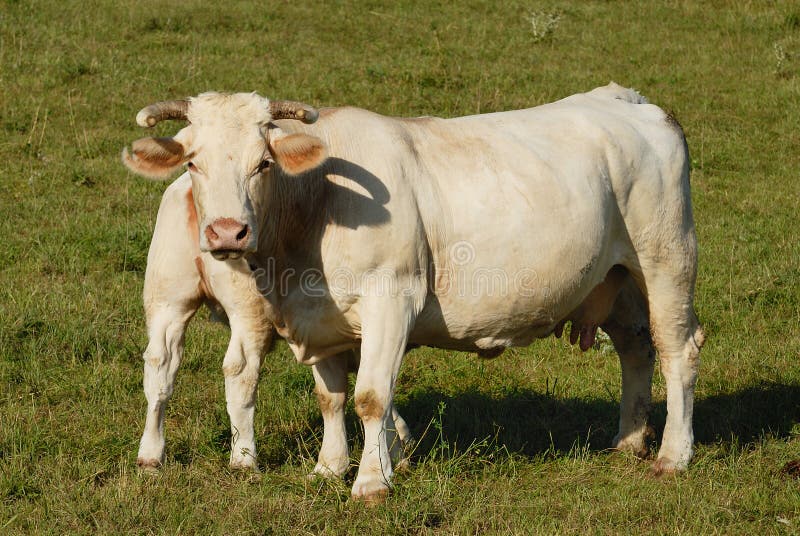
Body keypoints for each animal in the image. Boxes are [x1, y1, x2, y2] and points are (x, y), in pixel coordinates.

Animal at [137, 172, 411, 477]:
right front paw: (398, 449)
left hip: (166, 297)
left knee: (160, 364)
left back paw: (150, 455)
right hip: (248, 308)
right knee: (240, 370)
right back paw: (244, 459)